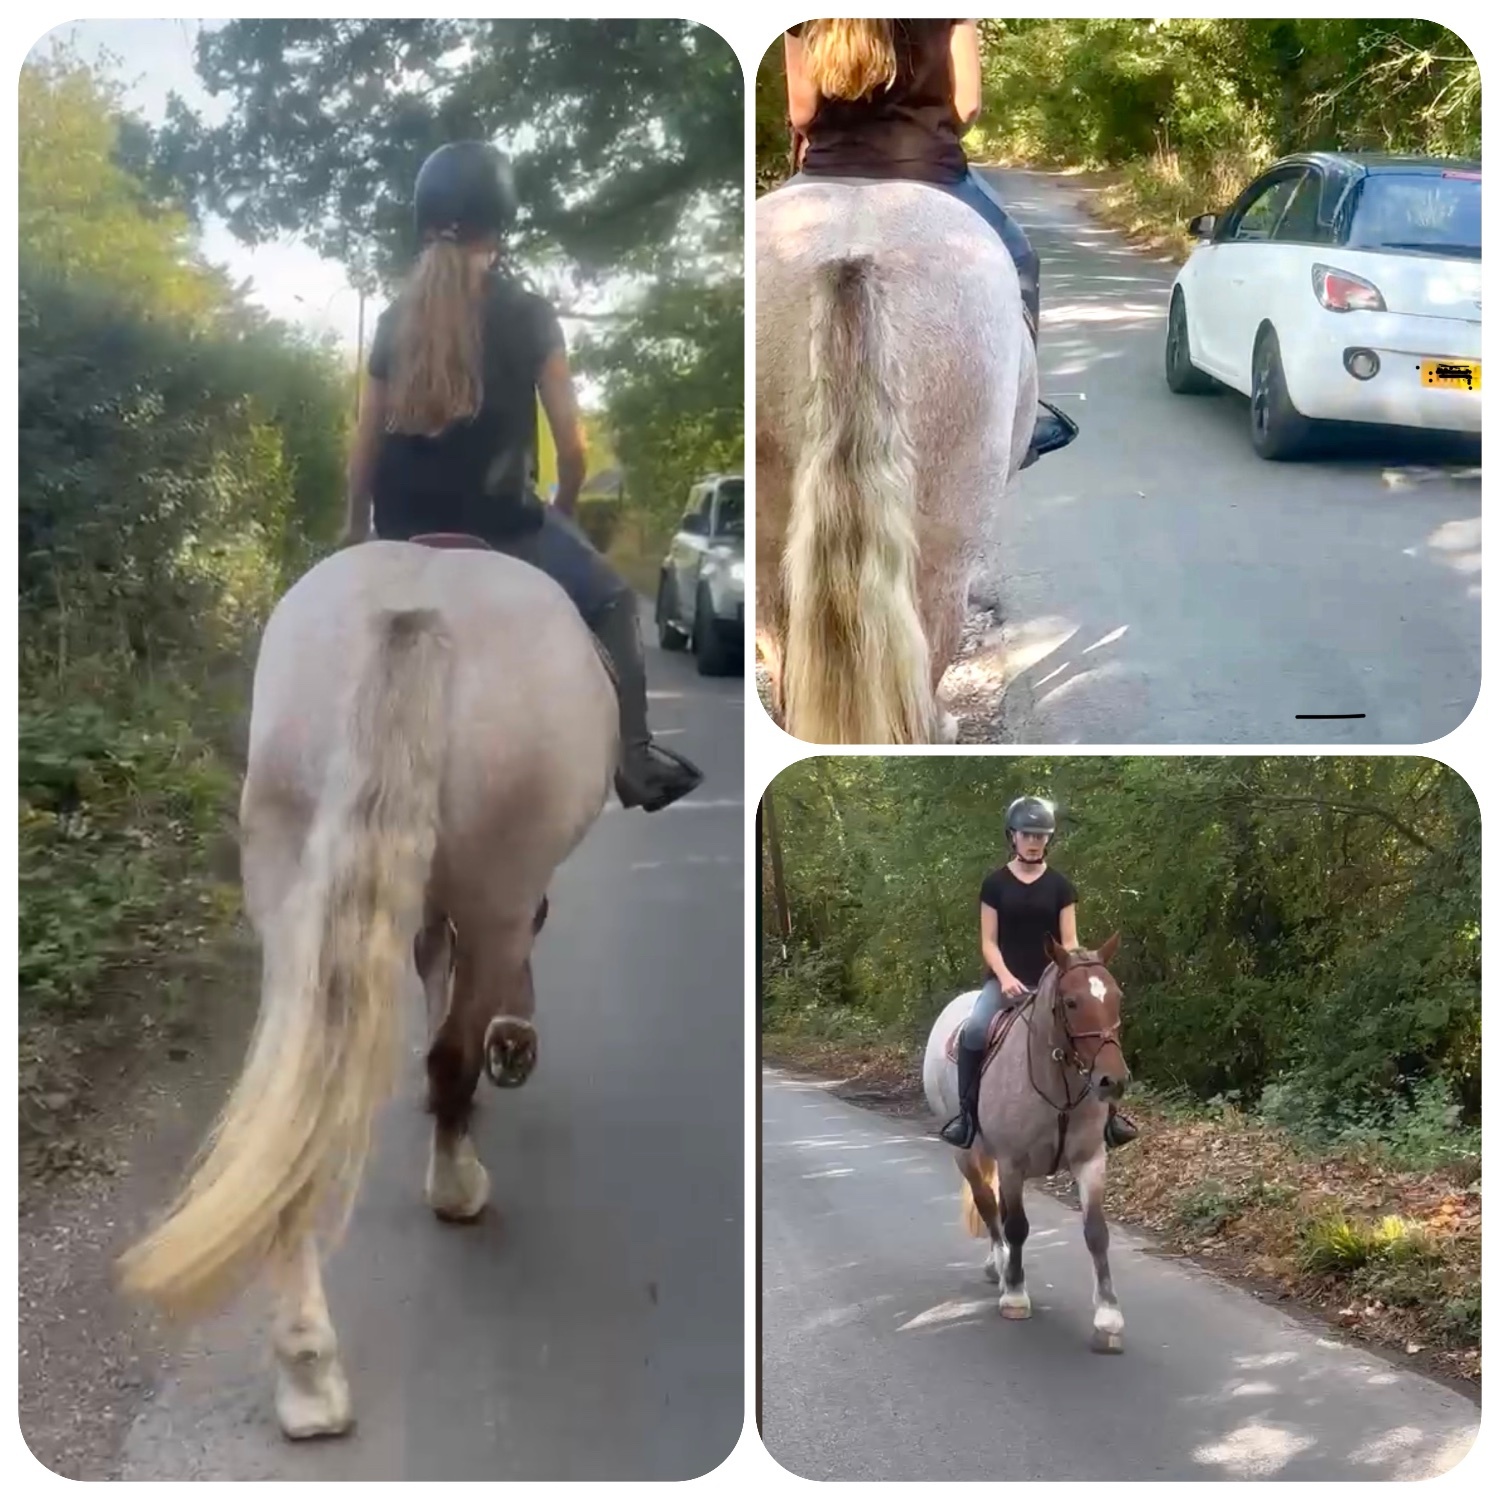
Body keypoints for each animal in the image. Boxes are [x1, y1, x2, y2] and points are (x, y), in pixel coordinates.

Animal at [115, 533, 617, 1438]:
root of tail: (414, 609)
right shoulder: (499, 899)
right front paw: (510, 1044)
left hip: (292, 875)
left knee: (300, 1094)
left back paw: (308, 1370)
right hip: (496, 885)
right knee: (452, 1049)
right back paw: (457, 1181)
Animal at [922, 933, 1130, 1352]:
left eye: (1116, 996)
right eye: (1072, 1002)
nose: (1113, 1080)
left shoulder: (1090, 1160)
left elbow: (1096, 1232)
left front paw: (1108, 1318)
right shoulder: (1012, 1162)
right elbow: (1016, 1225)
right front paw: (1016, 1296)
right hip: (967, 1154)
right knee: (988, 1206)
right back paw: (1001, 1267)